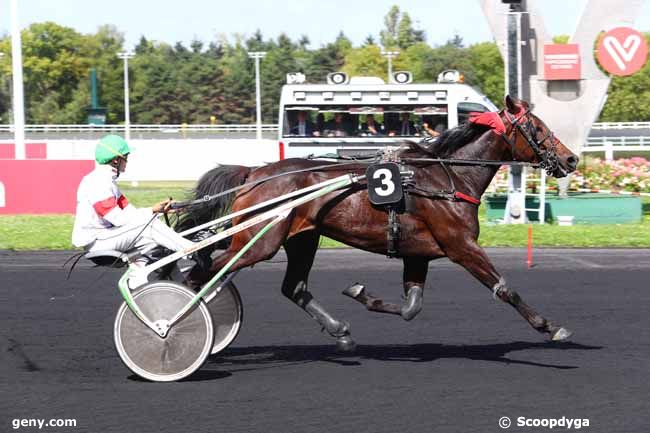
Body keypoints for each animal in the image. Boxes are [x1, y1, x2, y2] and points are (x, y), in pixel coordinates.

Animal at [181, 96, 576, 350]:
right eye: (537, 127)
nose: (571, 159)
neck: (447, 178)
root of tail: (255, 173)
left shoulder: (418, 253)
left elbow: (411, 307)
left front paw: (360, 294)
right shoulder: (461, 246)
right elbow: (505, 289)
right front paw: (550, 327)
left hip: (300, 239)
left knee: (292, 287)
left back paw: (339, 330)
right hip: (258, 242)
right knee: (203, 271)